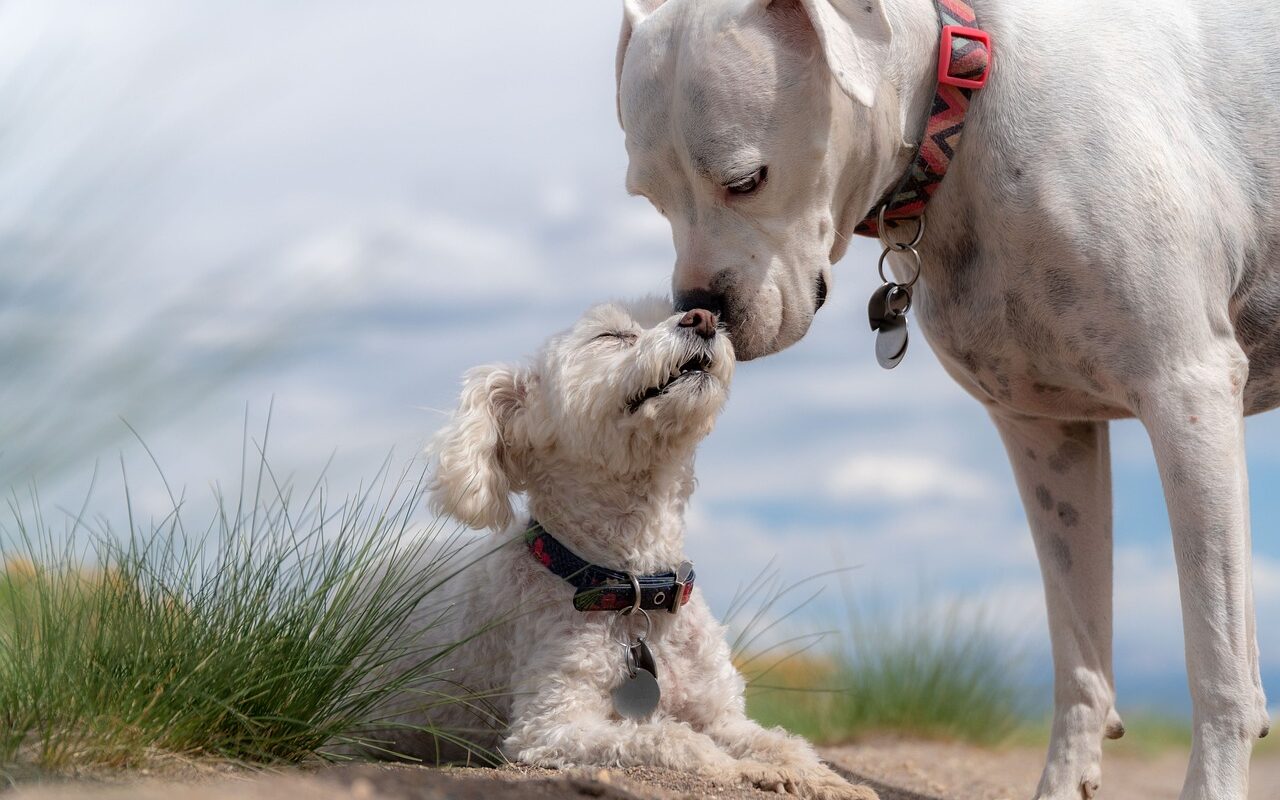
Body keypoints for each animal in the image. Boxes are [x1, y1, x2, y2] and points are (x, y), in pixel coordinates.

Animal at [384, 296, 875, 793]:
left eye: (674, 311)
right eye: (612, 336)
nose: (704, 317)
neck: (634, 588)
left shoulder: (721, 715)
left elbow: (784, 743)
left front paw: (827, 779)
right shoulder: (550, 726)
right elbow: (674, 739)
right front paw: (743, 769)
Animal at [614, 1, 1274, 798]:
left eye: (746, 180)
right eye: (649, 198)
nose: (699, 309)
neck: (962, 103)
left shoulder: (1188, 394)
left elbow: (1219, 662)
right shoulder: (1047, 433)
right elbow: (1079, 654)